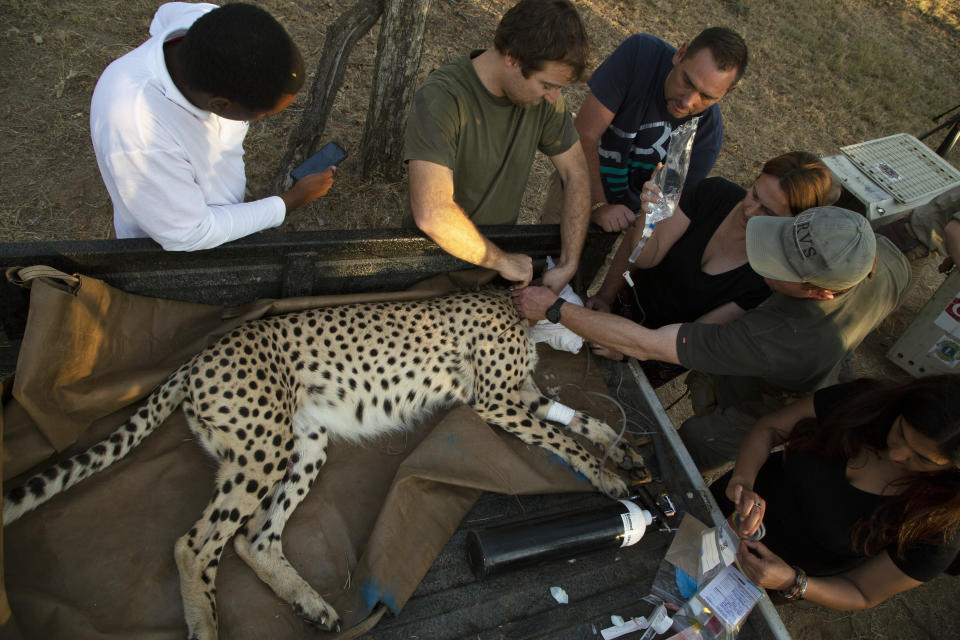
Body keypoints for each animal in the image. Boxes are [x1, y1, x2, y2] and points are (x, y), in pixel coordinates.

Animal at [3, 290, 648, 640]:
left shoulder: (524, 397)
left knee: (253, 539)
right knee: (196, 543)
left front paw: (624, 451)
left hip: (304, 445)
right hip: (263, 447)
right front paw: (609, 477)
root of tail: (200, 354)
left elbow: (580, 420)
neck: (516, 306)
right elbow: (562, 438)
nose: (616, 327)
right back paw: (207, 622)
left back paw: (310, 604)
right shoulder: (494, 401)